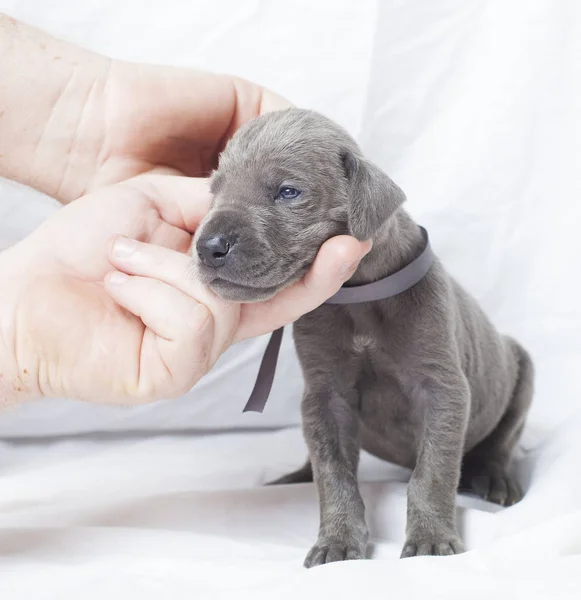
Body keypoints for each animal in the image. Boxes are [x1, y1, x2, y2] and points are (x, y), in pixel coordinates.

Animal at [193, 109, 532, 568]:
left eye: (287, 191)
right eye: (214, 191)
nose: (207, 246)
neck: (359, 296)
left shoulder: (442, 388)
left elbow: (433, 470)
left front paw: (431, 539)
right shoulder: (325, 397)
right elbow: (332, 471)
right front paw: (336, 540)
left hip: (520, 367)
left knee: (502, 439)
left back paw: (495, 478)